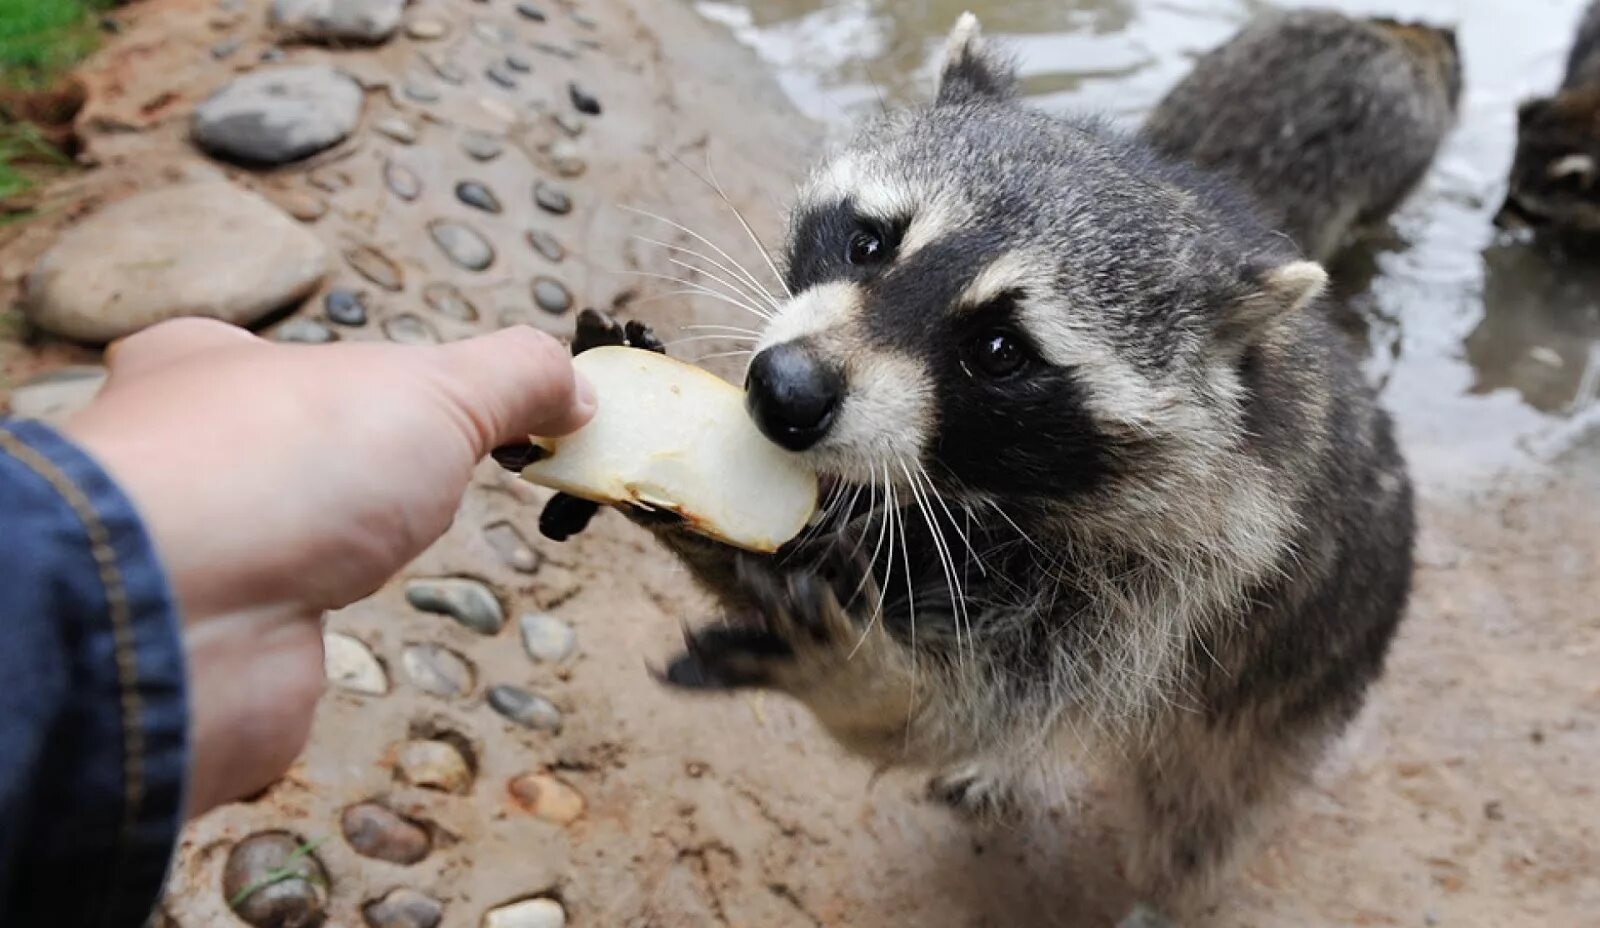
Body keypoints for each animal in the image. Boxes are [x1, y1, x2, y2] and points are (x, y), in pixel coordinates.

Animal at [524, 12, 1414, 915]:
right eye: (868, 241)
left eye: (999, 350)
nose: (785, 392)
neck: (974, 478)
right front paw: (713, 529)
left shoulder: (1188, 576)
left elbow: (971, 708)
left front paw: (864, 676)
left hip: (1301, 671)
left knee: (1205, 806)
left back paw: (1163, 892)